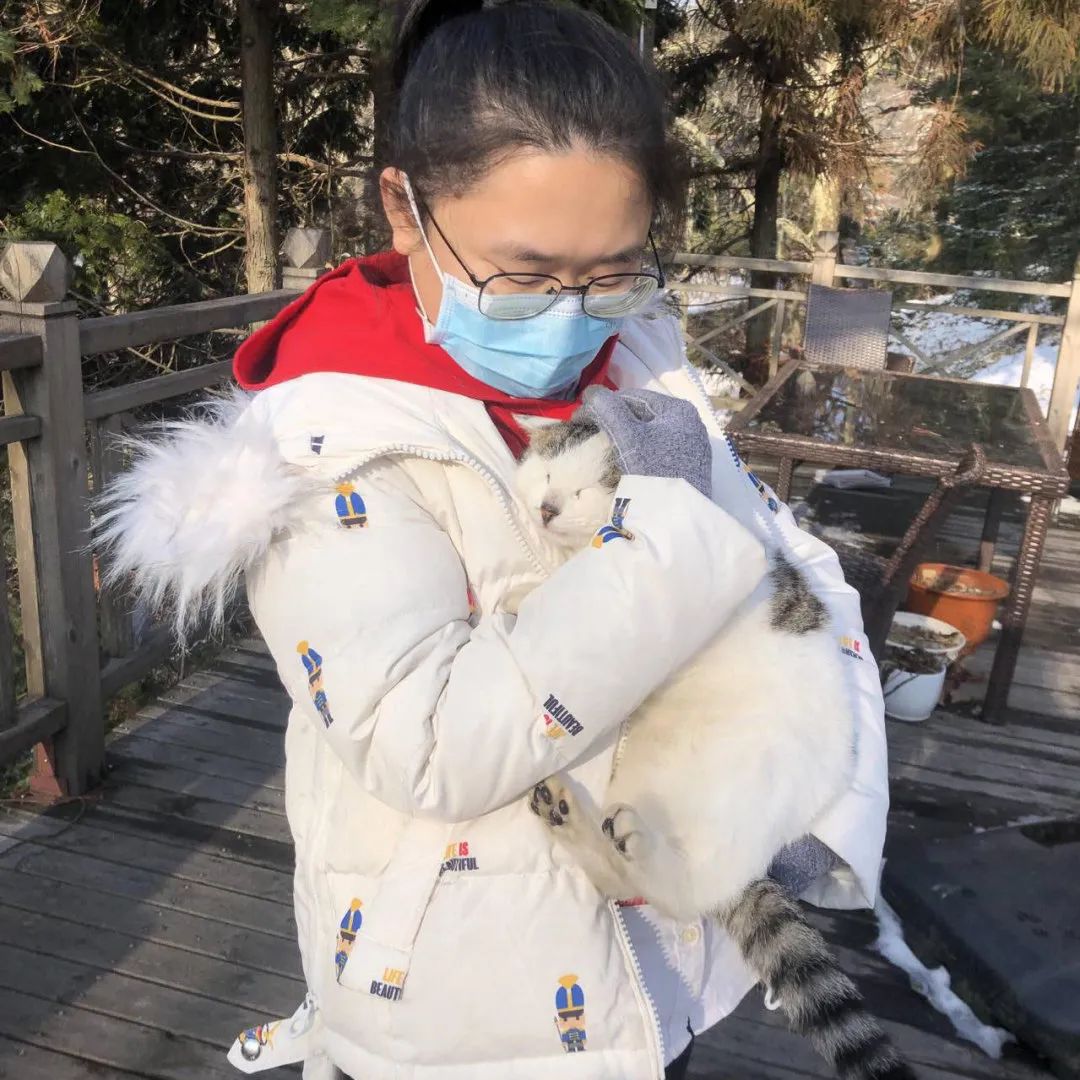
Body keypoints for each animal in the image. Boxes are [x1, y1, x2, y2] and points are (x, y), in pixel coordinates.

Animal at [513, 410, 916, 1080]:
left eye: (583, 490)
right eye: (546, 475)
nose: (546, 508)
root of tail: (756, 852)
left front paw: (528, 599)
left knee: (676, 893)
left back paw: (623, 836)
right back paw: (568, 816)